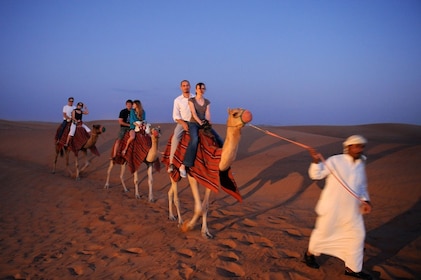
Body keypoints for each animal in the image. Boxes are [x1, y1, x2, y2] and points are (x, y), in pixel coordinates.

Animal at [162, 107, 251, 238]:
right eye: (235, 114)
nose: (248, 115)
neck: (214, 155)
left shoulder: (210, 176)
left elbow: (205, 206)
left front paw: (205, 232)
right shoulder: (193, 175)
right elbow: (199, 207)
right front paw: (188, 226)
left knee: (170, 192)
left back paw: (172, 216)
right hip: (174, 170)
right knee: (176, 196)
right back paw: (180, 221)